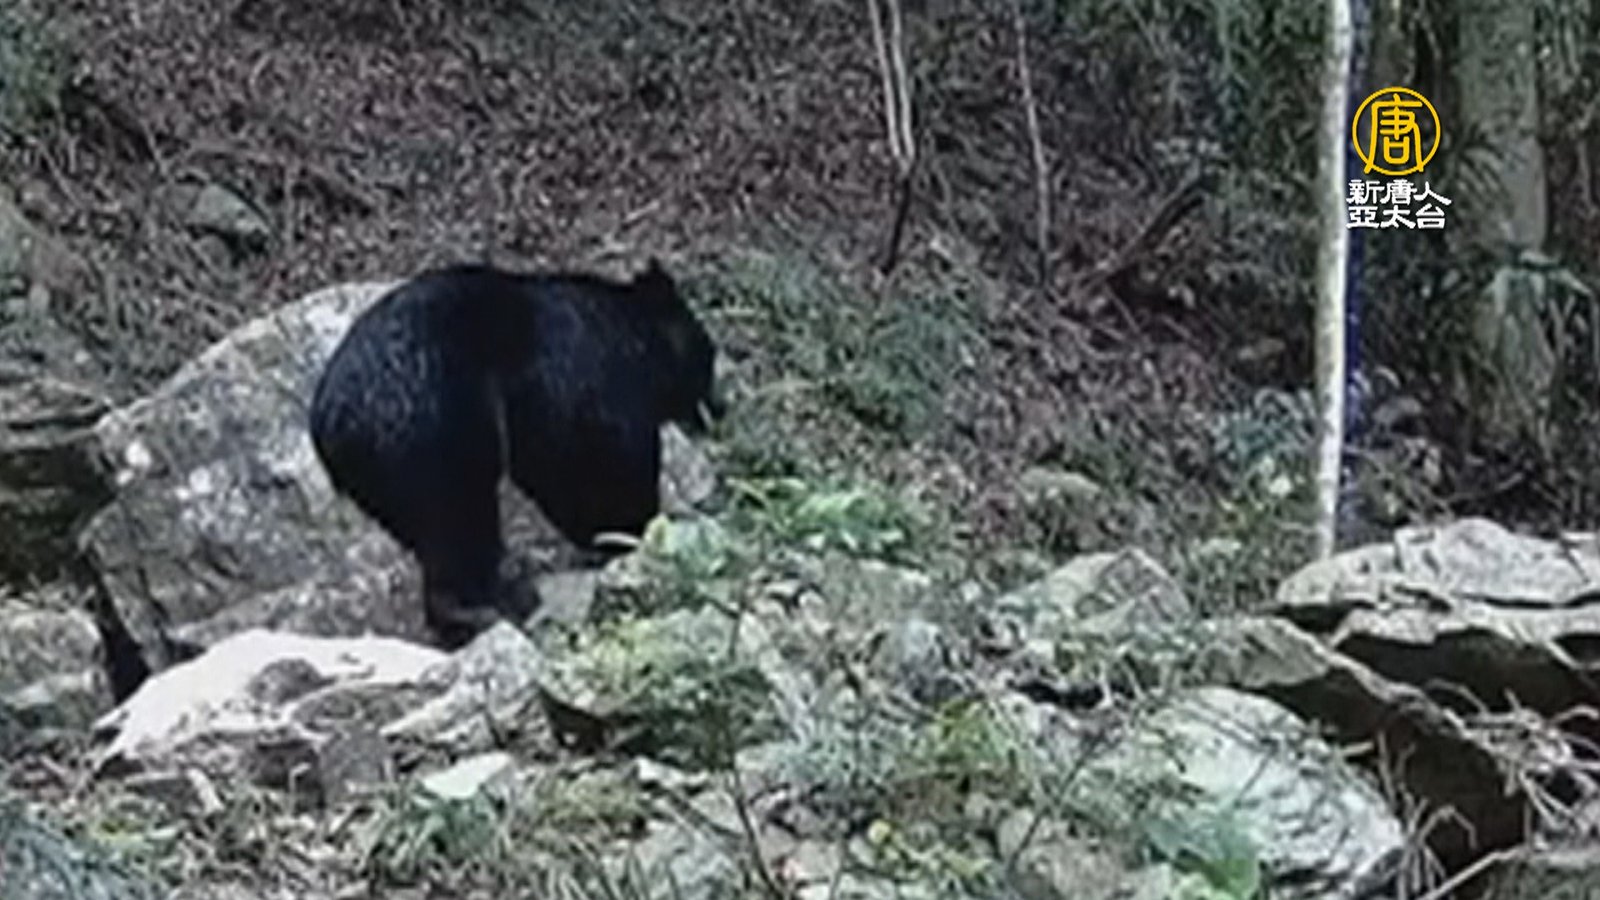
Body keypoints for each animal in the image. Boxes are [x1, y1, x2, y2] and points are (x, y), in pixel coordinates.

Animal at [308, 258, 721, 648]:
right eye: (709, 360)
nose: (719, 410)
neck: (636, 338)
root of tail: (331, 424)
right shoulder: (584, 385)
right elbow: (597, 462)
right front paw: (630, 533)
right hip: (433, 433)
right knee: (460, 519)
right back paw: (484, 609)